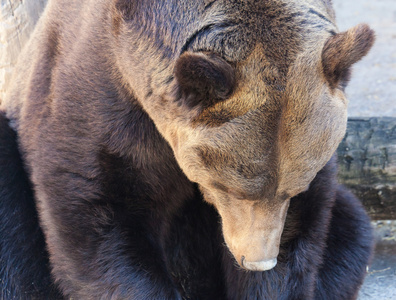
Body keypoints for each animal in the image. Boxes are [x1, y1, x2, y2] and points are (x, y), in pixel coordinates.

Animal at [0, 0, 374, 298]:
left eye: (294, 188)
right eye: (228, 187)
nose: (257, 260)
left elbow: (301, 233)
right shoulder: (100, 94)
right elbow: (97, 214)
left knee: (353, 231)